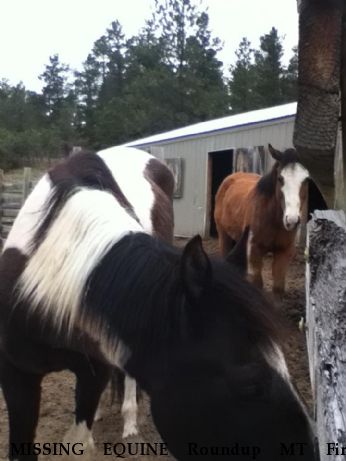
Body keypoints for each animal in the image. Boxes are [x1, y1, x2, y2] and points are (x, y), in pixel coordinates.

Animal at [215, 146, 310, 300]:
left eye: (306, 179)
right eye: (280, 178)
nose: (292, 220)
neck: (272, 218)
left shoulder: (283, 251)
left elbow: (278, 288)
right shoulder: (254, 250)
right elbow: (257, 284)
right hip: (223, 235)